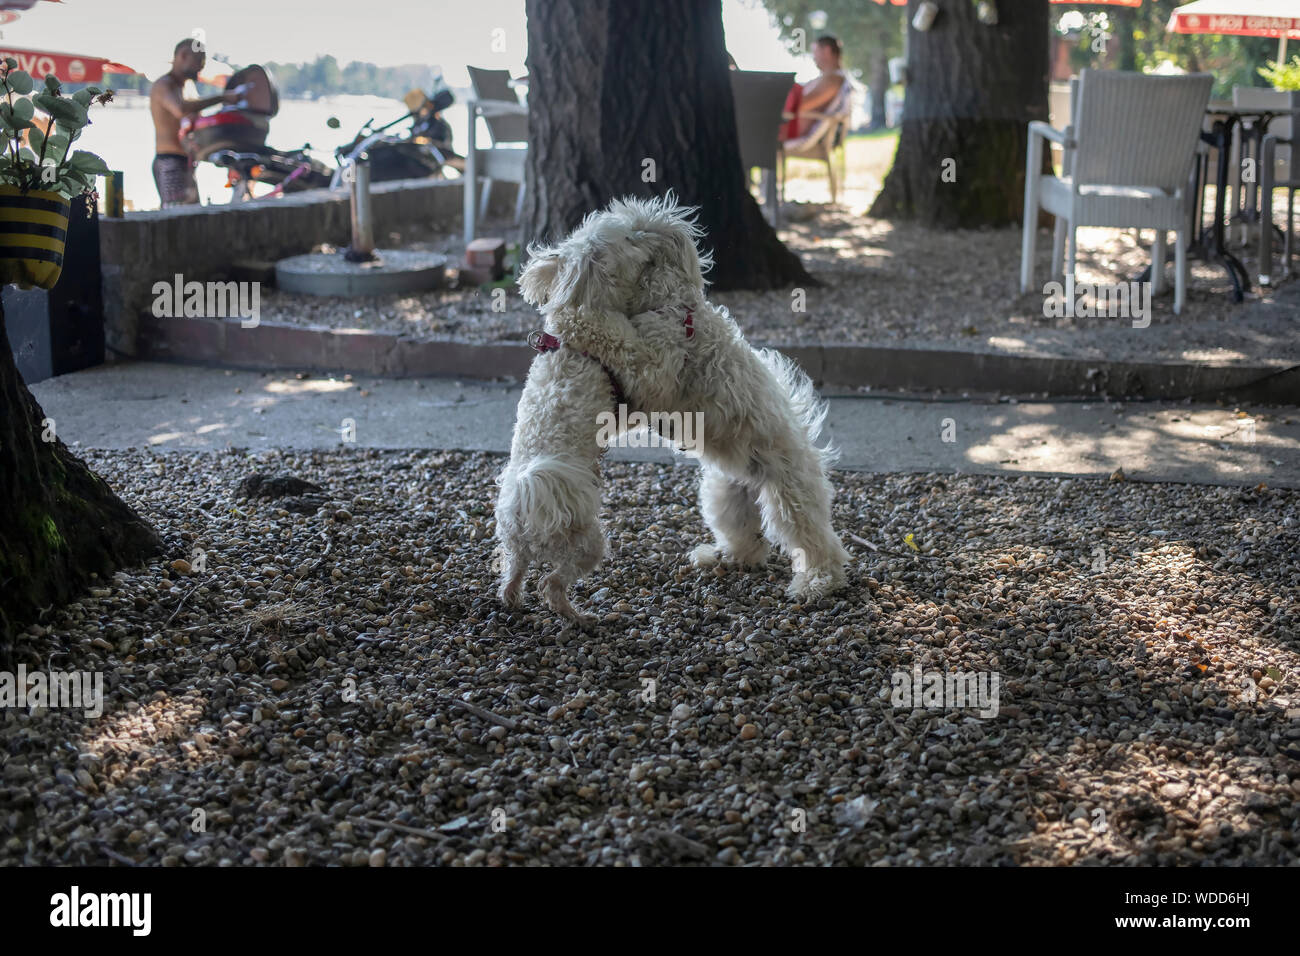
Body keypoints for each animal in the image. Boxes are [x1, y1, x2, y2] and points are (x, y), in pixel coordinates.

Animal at [493, 191, 842, 621]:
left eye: (632, 233)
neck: (670, 304)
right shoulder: (639, 391)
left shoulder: (654, 368)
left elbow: (620, 342)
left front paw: (578, 321)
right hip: (725, 495)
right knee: (748, 540)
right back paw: (724, 557)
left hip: (790, 495)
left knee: (815, 542)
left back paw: (817, 582)